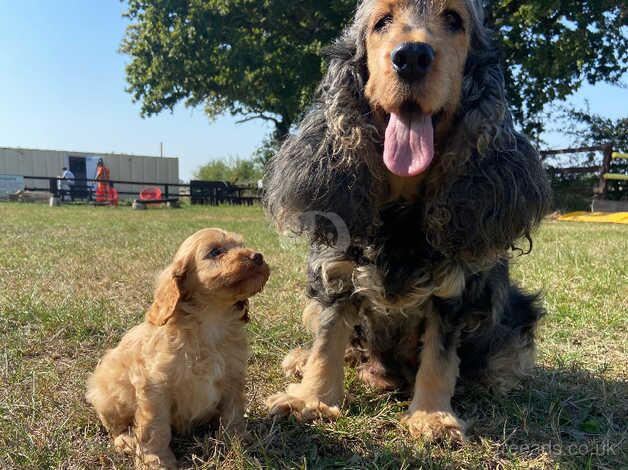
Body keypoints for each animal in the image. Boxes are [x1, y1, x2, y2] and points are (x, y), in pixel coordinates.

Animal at [85, 228, 270, 466]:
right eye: (215, 251)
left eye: (242, 245)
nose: (258, 256)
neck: (211, 319)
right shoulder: (155, 387)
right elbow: (155, 428)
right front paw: (155, 461)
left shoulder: (233, 377)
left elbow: (233, 413)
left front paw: (238, 442)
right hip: (109, 395)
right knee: (115, 427)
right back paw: (126, 441)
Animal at [264, 0, 548, 442]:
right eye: (381, 22)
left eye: (454, 20)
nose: (411, 57)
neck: (401, 209)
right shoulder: (334, 273)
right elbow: (328, 340)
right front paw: (311, 400)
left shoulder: (453, 291)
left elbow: (440, 357)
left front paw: (432, 416)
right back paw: (302, 359)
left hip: (518, 309)